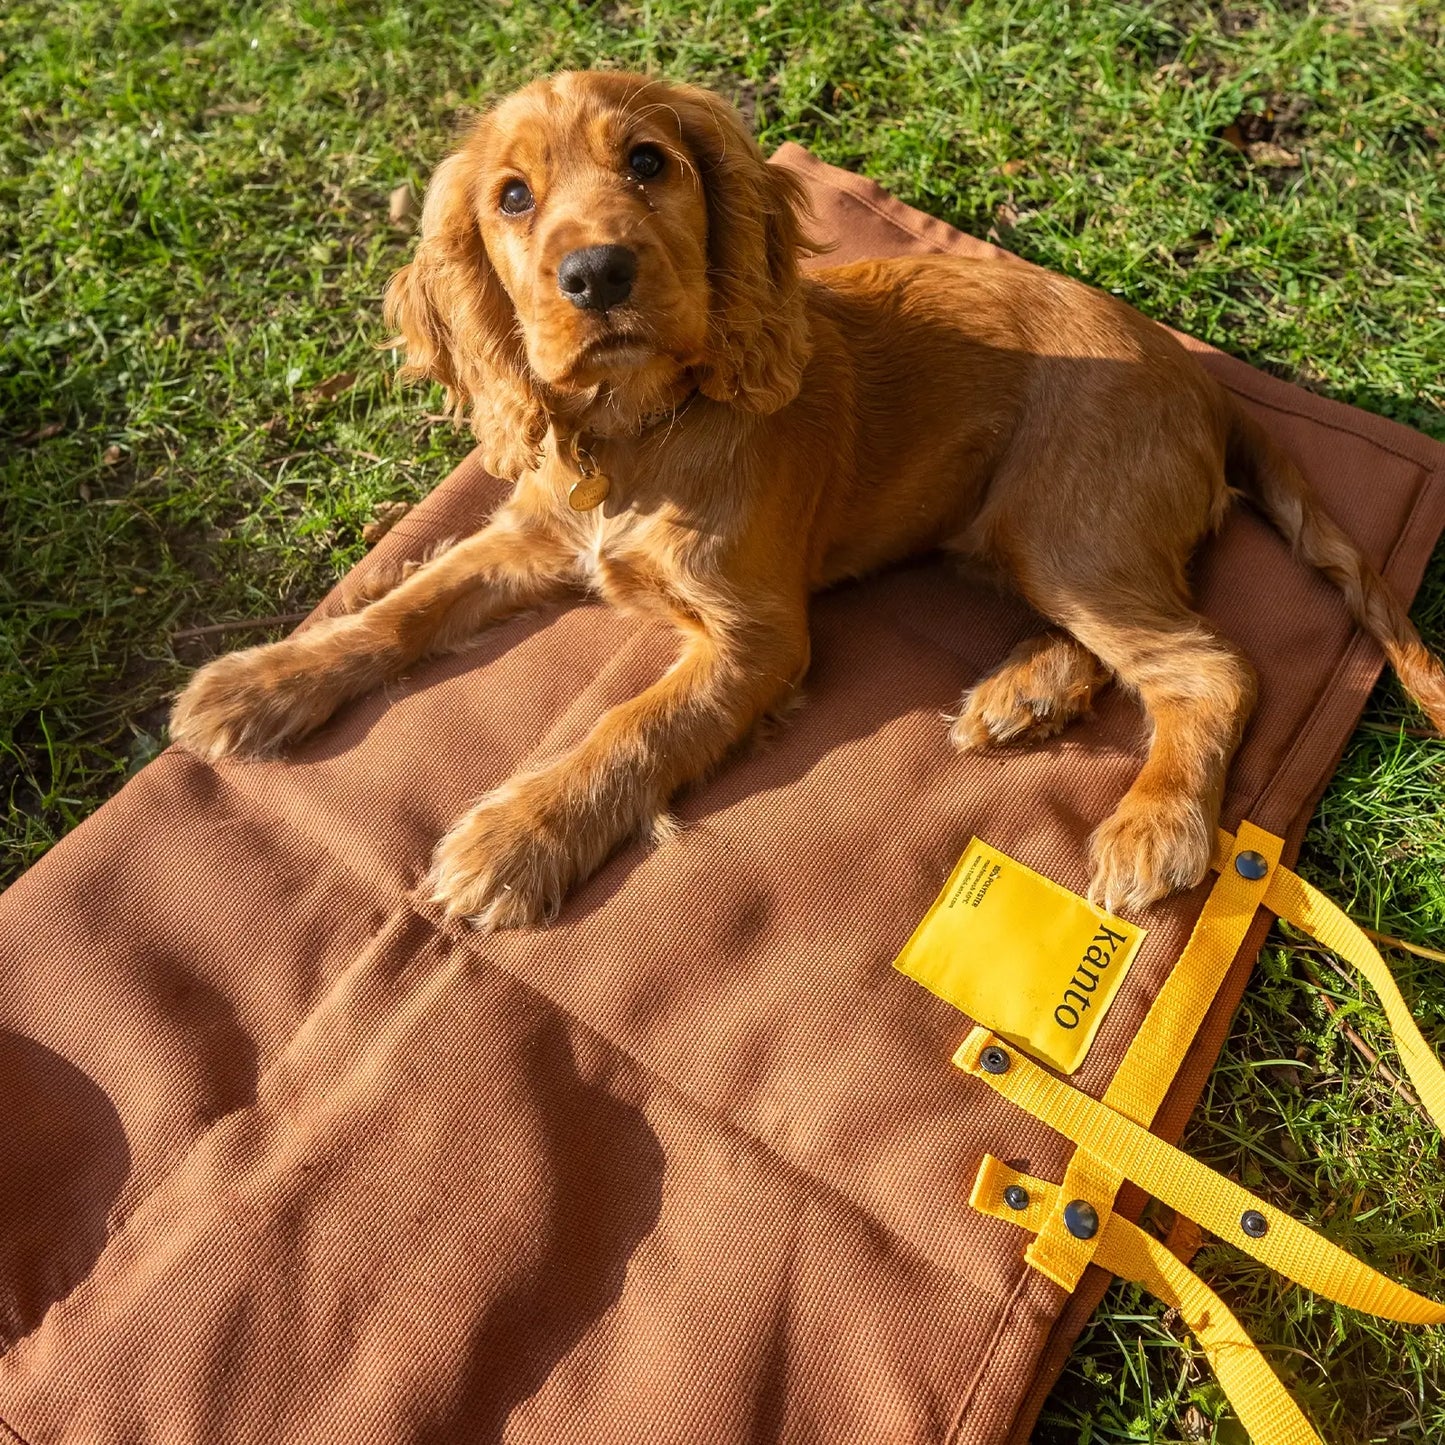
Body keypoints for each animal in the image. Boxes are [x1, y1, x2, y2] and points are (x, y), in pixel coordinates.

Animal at [171, 70, 1445, 924]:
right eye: (513, 198)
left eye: (649, 164)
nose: (596, 276)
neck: (644, 433)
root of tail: (1201, 376)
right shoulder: (529, 531)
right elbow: (406, 604)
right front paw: (265, 679)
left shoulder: (755, 639)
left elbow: (629, 728)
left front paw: (516, 838)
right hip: (1036, 543)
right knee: (1139, 640)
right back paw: (1024, 693)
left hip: (1064, 523)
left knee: (1205, 664)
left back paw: (1153, 821)